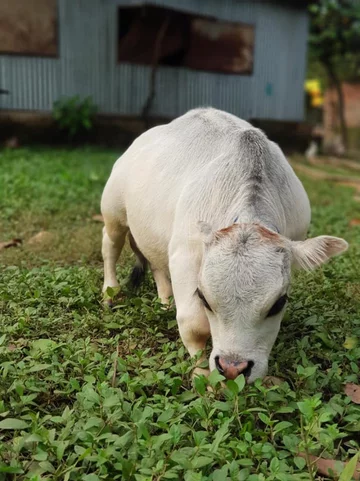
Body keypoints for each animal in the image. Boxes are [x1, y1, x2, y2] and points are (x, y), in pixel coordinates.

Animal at [100, 107, 348, 380]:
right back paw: (110, 293)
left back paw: (165, 302)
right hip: (113, 213)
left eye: (279, 303)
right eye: (204, 298)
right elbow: (193, 324)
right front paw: (202, 375)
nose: (232, 368)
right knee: (110, 245)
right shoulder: (185, 256)